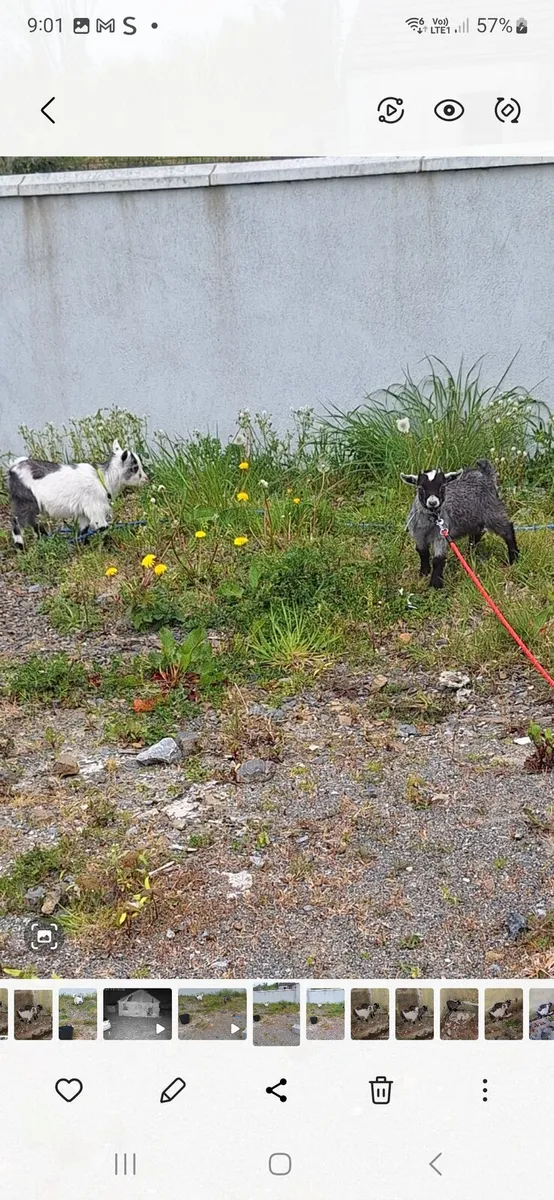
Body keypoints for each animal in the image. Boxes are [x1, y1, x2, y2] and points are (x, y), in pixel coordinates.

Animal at [7, 439, 148, 549]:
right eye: (135, 468)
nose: (146, 479)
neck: (103, 479)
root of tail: (13, 469)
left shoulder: (83, 512)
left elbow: (83, 530)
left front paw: (84, 545)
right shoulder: (95, 507)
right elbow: (103, 528)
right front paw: (111, 547)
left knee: (33, 522)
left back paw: (46, 540)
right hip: (25, 501)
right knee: (17, 524)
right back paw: (21, 547)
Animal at [401, 461, 518, 589]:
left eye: (442, 487)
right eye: (420, 488)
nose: (433, 502)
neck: (432, 520)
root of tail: (485, 473)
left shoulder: (441, 534)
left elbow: (438, 559)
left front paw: (435, 584)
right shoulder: (418, 535)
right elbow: (422, 552)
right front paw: (424, 573)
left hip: (492, 510)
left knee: (507, 530)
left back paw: (514, 558)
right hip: (473, 518)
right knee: (478, 532)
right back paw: (469, 553)